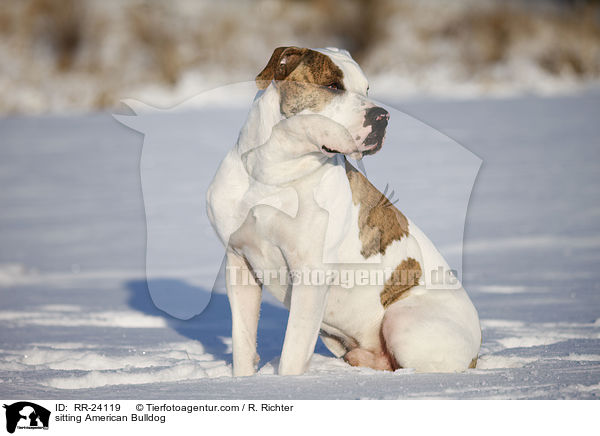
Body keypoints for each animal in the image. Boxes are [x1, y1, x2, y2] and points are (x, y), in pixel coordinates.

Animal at [209, 46, 480, 374]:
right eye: (333, 86)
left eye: (367, 89)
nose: (382, 116)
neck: (272, 172)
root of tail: (477, 349)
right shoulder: (239, 263)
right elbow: (243, 343)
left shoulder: (311, 275)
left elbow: (292, 353)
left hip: (404, 320)